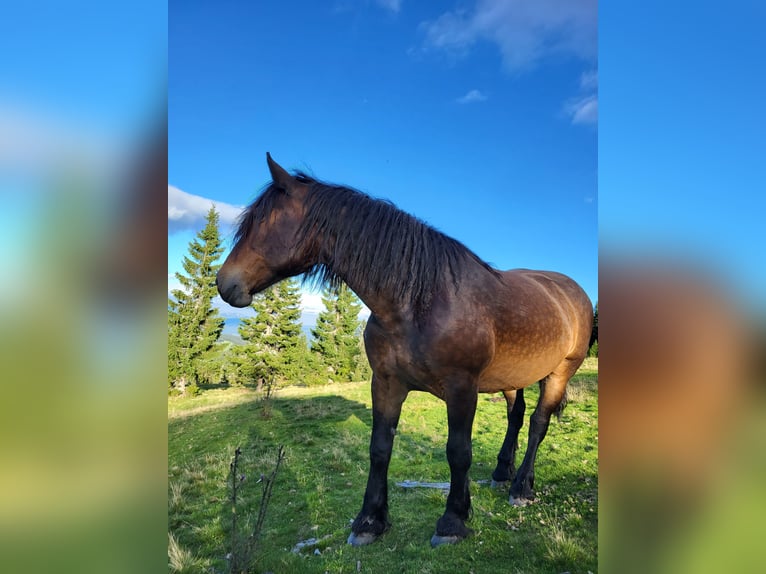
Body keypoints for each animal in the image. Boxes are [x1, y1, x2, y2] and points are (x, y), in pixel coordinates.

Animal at [216, 155, 592, 552]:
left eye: (264, 222)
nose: (225, 283)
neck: (418, 302)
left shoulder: (462, 389)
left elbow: (458, 451)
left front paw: (452, 521)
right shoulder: (386, 383)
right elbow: (380, 448)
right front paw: (370, 521)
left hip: (559, 373)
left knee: (538, 423)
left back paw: (521, 487)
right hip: (511, 378)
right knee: (516, 416)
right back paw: (503, 471)